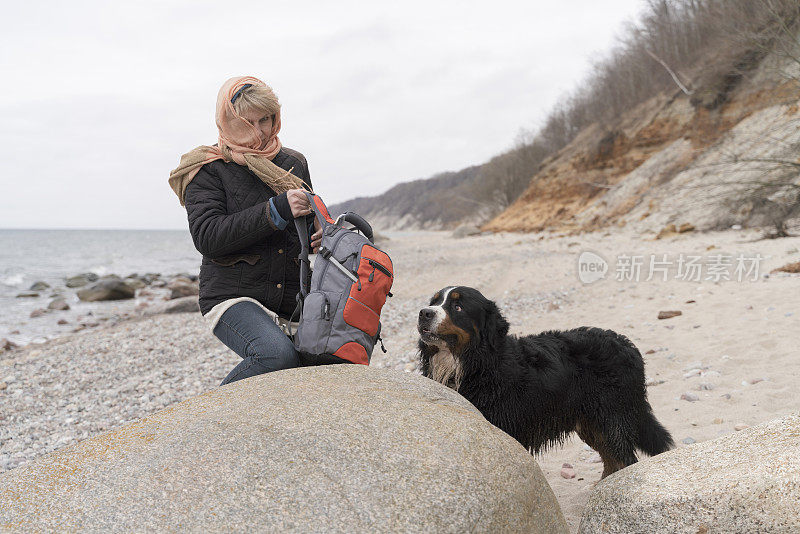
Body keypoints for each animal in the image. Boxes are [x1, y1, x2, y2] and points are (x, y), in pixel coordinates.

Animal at [418, 286, 676, 480]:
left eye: (457, 306)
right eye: (434, 301)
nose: (424, 313)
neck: (473, 364)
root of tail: (627, 345)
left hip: (611, 418)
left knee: (624, 457)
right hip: (591, 423)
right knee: (613, 459)